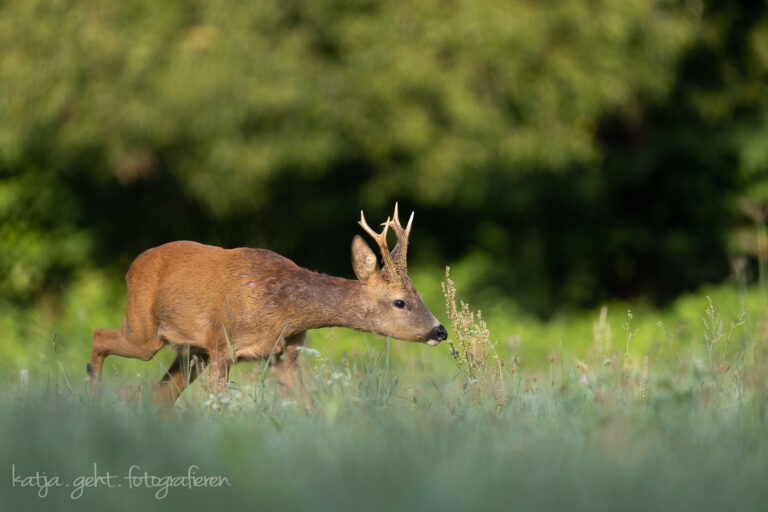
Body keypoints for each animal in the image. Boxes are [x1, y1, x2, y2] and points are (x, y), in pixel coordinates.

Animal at [88, 205, 450, 404]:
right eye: (400, 302)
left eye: (418, 294)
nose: (441, 330)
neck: (284, 310)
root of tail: (133, 265)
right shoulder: (223, 345)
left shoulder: (284, 354)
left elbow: (305, 404)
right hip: (145, 329)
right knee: (99, 335)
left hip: (191, 353)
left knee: (160, 395)